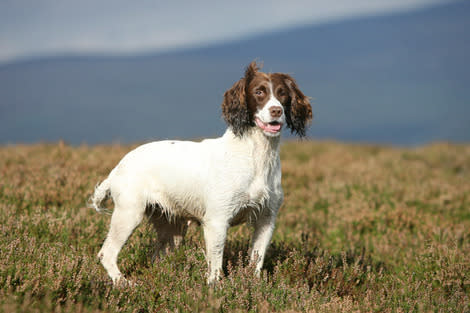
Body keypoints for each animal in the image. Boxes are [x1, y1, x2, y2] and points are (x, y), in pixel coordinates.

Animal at [91, 60, 312, 282]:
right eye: (259, 92)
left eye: (283, 93)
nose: (276, 111)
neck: (256, 156)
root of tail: (117, 168)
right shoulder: (217, 221)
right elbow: (215, 267)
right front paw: (216, 287)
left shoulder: (266, 220)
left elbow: (256, 261)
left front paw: (254, 284)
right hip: (129, 214)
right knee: (106, 253)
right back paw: (123, 283)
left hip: (171, 227)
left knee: (157, 258)